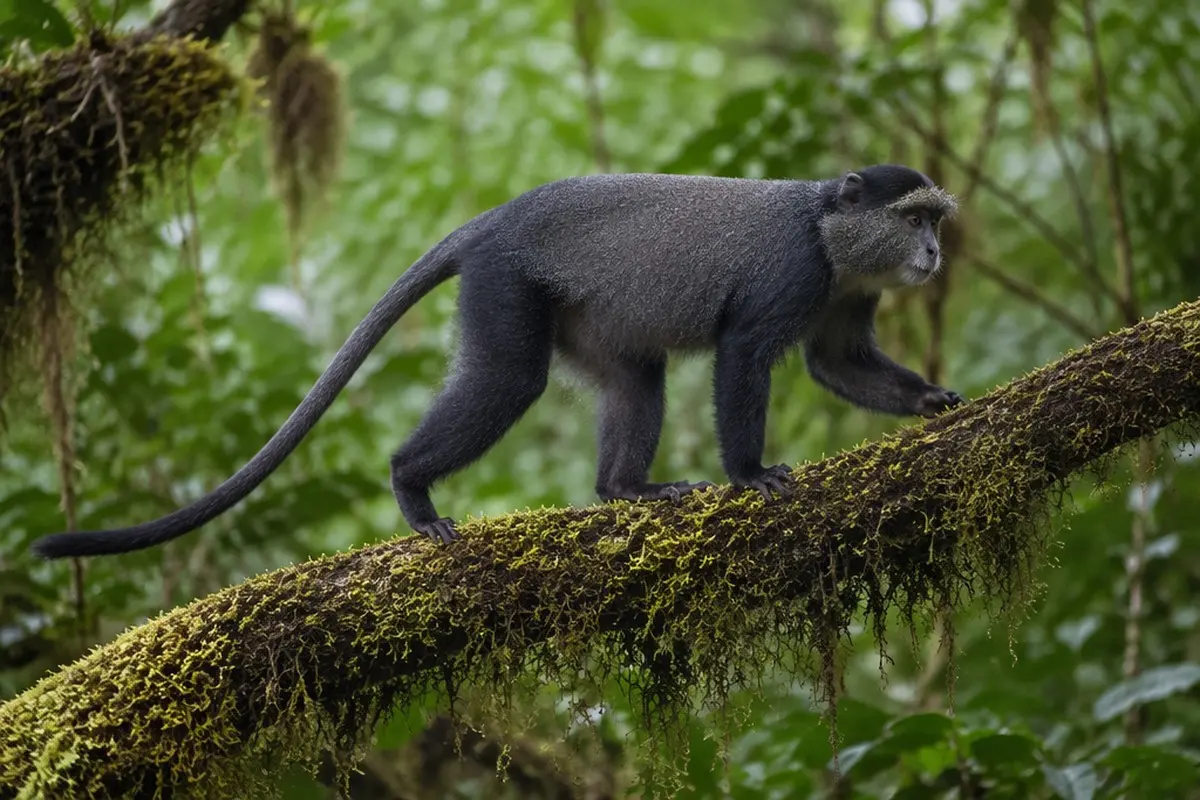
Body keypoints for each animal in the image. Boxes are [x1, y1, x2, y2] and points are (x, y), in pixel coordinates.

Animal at [29, 164, 963, 559]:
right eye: (913, 215)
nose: (932, 254)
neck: (830, 229)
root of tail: (495, 221)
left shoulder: (845, 295)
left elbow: (837, 362)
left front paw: (933, 403)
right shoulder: (792, 274)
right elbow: (743, 357)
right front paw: (752, 473)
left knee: (636, 377)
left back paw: (627, 490)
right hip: (504, 287)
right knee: (512, 380)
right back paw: (412, 490)